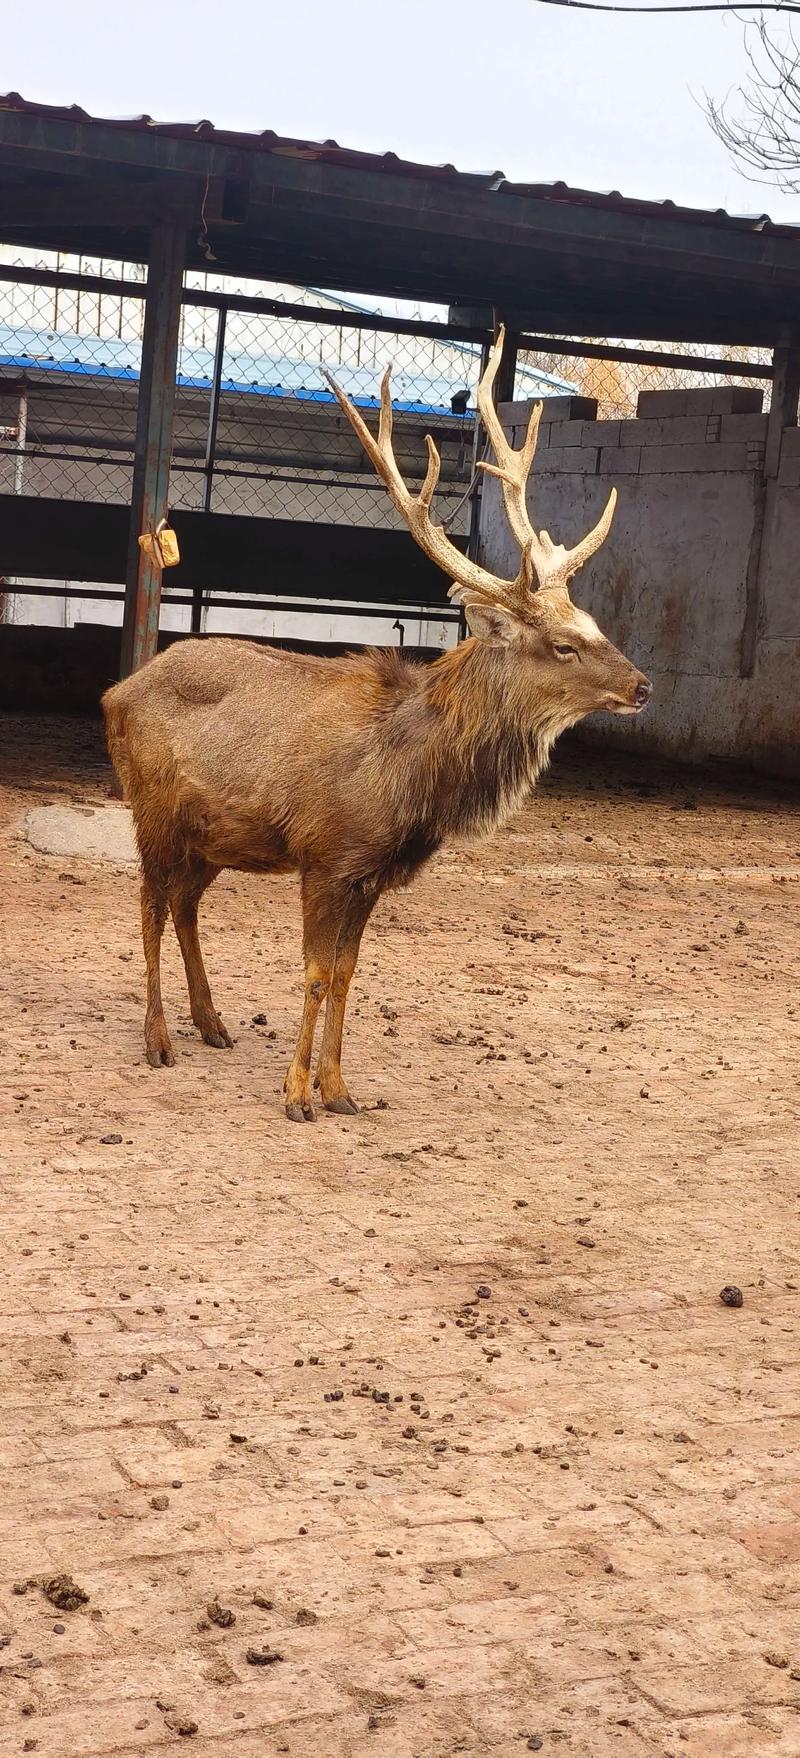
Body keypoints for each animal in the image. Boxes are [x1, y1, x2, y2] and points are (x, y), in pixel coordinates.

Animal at [102, 328, 650, 1122]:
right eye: (564, 645)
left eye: (595, 622)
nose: (643, 685)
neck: (412, 777)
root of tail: (115, 693)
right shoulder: (327, 854)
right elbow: (313, 972)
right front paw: (296, 1096)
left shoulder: (369, 874)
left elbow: (348, 974)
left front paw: (339, 1090)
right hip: (153, 810)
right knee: (147, 905)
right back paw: (158, 1039)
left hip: (213, 835)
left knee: (183, 905)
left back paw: (212, 1023)